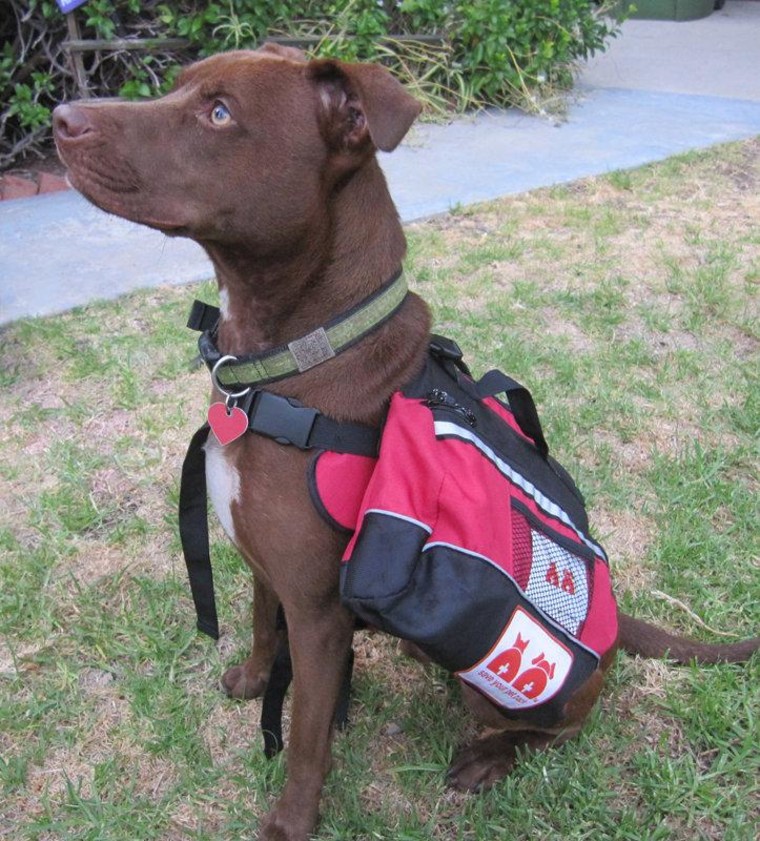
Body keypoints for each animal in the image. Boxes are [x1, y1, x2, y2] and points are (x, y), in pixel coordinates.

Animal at [52, 46, 756, 840]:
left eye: (220, 112)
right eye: (179, 86)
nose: (62, 118)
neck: (290, 357)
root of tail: (607, 634)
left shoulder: (320, 620)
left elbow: (306, 736)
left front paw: (290, 820)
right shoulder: (266, 564)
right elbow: (263, 628)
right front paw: (255, 680)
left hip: (509, 683)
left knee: (559, 725)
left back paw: (491, 756)